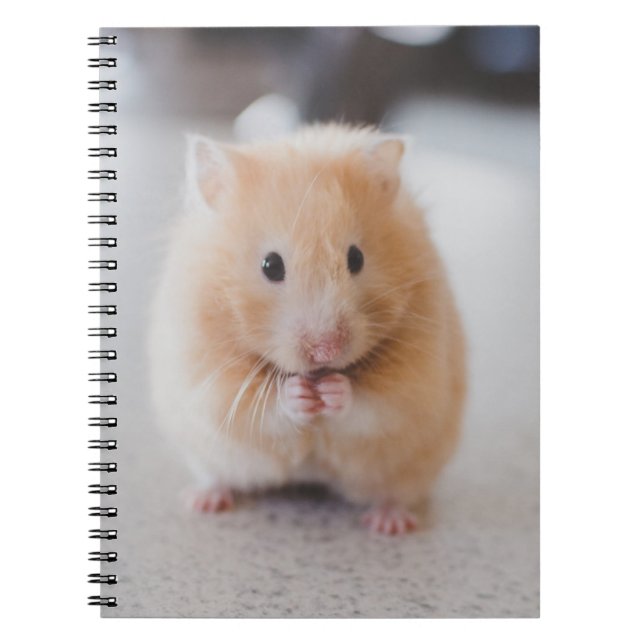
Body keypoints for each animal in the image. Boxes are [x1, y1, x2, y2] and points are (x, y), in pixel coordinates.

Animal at [148, 123, 466, 535]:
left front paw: (333, 391)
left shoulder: (416, 382)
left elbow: (374, 405)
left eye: (356, 258)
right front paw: (299, 394)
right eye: (270, 265)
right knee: (217, 476)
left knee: (394, 493)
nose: (326, 351)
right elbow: (260, 407)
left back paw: (390, 524)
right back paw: (203, 501)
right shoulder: (208, 378)